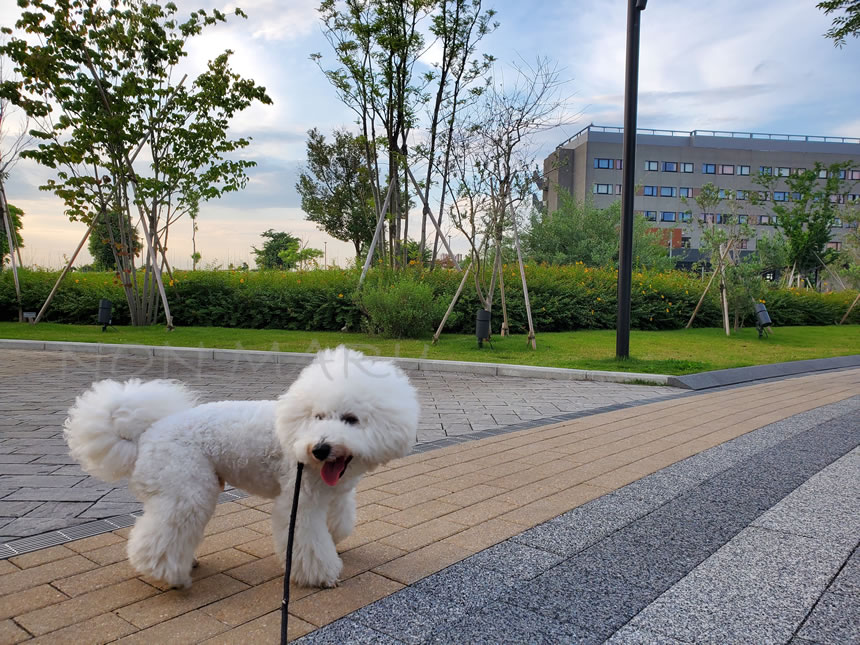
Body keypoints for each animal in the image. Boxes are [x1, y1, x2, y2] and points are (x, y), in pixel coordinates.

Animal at [63, 348, 420, 588]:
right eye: (318, 417)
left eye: (351, 419)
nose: (318, 448)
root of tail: (146, 434)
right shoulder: (298, 502)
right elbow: (309, 540)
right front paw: (321, 575)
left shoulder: (335, 493)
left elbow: (339, 522)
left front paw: (335, 538)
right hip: (187, 490)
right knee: (160, 536)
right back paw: (170, 574)